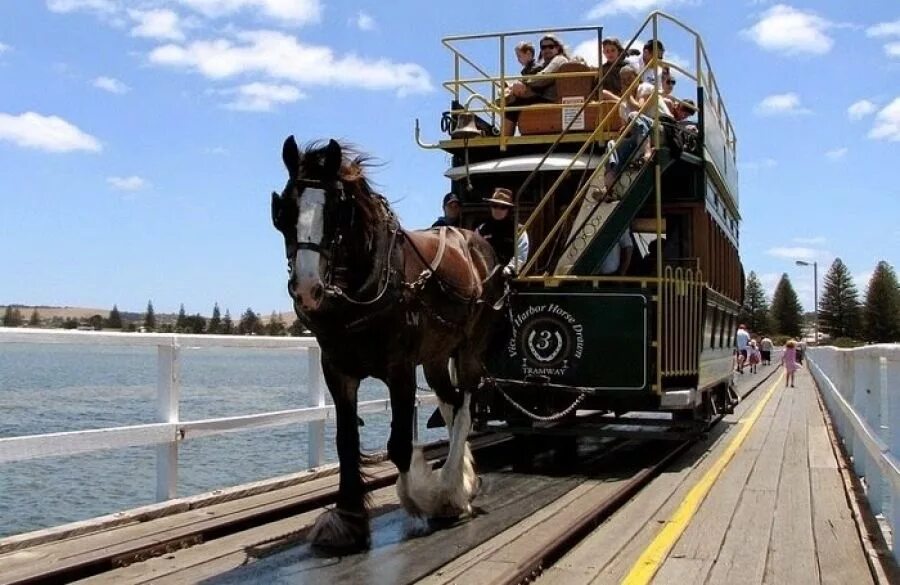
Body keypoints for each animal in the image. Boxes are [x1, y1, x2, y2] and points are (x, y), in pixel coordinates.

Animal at [268, 136, 506, 548]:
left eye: (336, 212)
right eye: (284, 210)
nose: (307, 289)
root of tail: (472, 238)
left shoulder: (400, 368)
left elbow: (398, 444)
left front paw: (421, 496)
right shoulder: (337, 369)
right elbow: (346, 442)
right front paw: (347, 518)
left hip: (471, 346)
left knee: (467, 402)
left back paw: (450, 491)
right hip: (436, 355)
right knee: (451, 401)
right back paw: (462, 480)